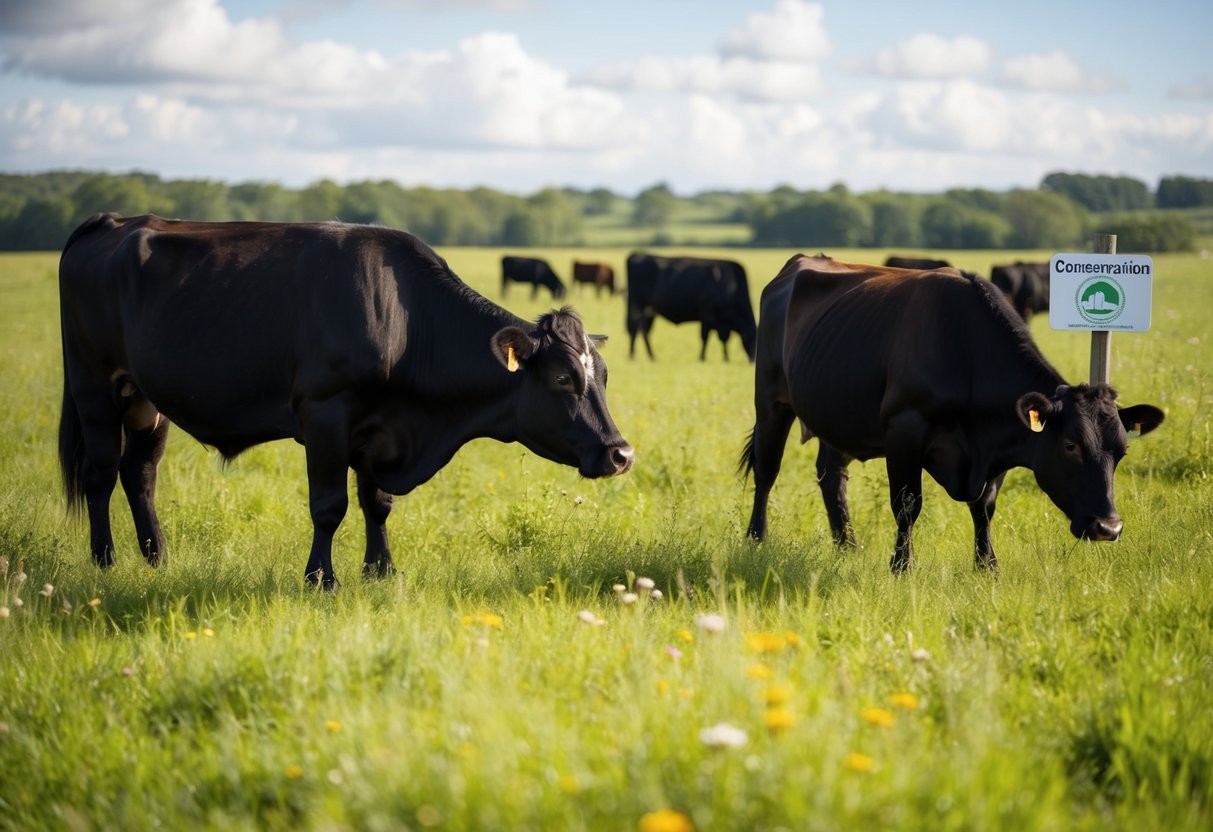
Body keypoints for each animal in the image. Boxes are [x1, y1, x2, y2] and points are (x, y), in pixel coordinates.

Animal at [59, 217, 635, 594]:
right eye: (562, 378)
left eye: (605, 376)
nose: (621, 454)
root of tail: (116, 222)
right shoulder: (325, 415)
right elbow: (329, 505)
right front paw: (321, 579)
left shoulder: (380, 429)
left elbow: (377, 503)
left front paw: (380, 570)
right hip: (94, 385)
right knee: (101, 471)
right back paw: (105, 560)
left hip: (146, 401)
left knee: (140, 473)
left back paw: (156, 558)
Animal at [737, 255, 1164, 572]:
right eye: (1071, 445)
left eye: (1122, 451)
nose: (1108, 527)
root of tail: (800, 262)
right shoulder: (904, 430)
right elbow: (907, 504)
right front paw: (902, 567)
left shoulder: (998, 445)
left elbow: (985, 507)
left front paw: (987, 566)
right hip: (771, 403)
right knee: (766, 470)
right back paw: (756, 539)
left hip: (838, 415)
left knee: (831, 476)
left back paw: (847, 547)